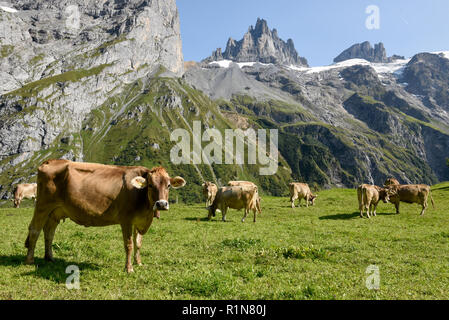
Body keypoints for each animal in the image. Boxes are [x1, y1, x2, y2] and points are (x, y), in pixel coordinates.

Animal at [24, 160, 186, 272]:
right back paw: (30, 260)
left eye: (168, 185)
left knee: (49, 232)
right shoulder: (126, 220)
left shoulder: (139, 221)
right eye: (151, 185)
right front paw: (129, 268)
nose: (161, 204)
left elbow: (138, 243)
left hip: (56, 211)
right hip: (43, 205)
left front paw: (139, 262)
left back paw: (49, 258)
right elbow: (129, 245)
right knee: (34, 229)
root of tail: (49, 161)